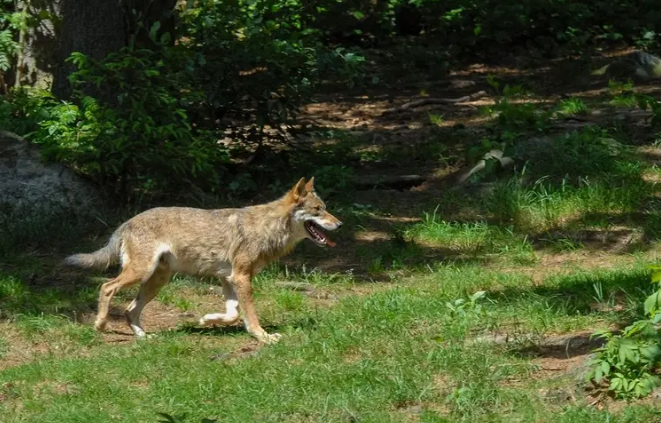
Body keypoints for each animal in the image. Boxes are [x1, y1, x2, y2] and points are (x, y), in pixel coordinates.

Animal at [64, 177, 342, 344]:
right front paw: (263, 337)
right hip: (140, 274)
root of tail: (128, 222)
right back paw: (100, 325)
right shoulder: (241, 277)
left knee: (130, 310)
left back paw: (143, 337)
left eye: (326, 208)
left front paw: (207, 320)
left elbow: (233, 314)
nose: (339, 224)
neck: (269, 227)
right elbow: (249, 315)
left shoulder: (229, 278)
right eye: (318, 210)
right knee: (106, 287)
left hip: (156, 281)